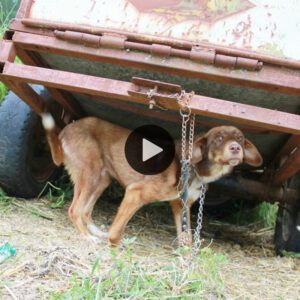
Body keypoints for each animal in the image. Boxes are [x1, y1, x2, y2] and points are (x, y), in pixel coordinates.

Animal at [41, 115, 262, 246]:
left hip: (101, 180)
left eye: (240, 138)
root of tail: (64, 130)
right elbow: (117, 231)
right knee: (75, 210)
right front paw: (114, 246)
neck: (193, 169)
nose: (236, 148)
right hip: (90, 175)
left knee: (85, 211)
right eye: (218, 138)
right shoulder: (135, 192)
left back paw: (96, 233)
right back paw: (88, 237)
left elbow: (186, 236)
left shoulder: (180, 205)